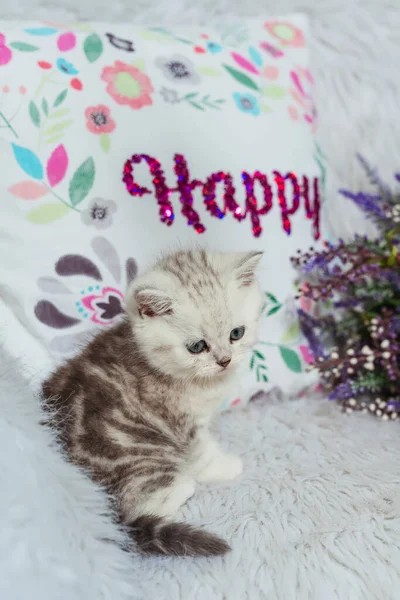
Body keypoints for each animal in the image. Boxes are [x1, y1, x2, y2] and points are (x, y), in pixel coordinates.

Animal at [42, 250, 264, 556]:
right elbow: (202, 454)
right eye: (197, 347)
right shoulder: (181, 424)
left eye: (236, 333)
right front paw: (227, 466)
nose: (224, 360)